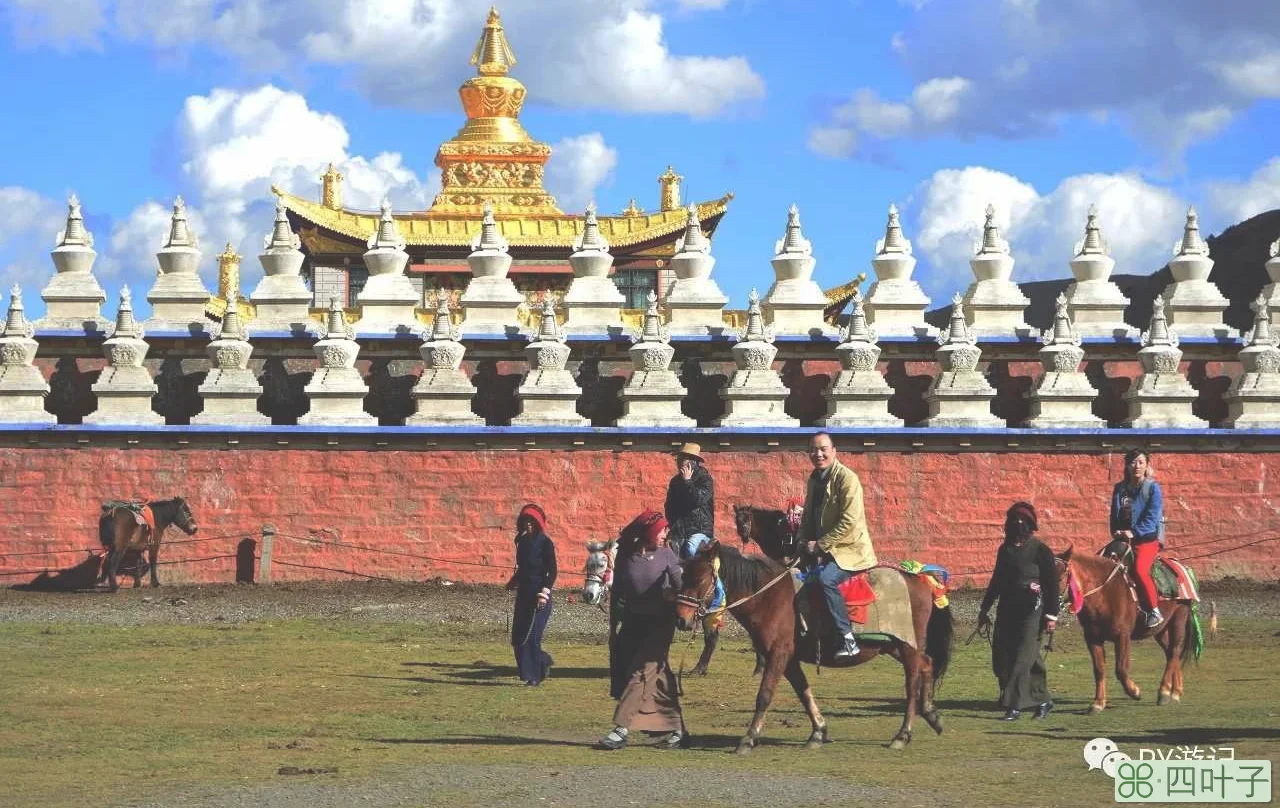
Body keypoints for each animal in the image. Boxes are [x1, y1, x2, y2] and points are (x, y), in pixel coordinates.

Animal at [675, 540, 957, 758]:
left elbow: (764, 695)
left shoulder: (778, 654)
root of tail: (920, 579)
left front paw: (748, 738)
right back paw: (931, 714)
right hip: (893, 646)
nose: (681, 619)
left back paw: (902, 734)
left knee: (912, 682)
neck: (769, 599)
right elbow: (803, 692)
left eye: (699, 578)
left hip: (906, 645)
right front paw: (818, 732)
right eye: (682, 576)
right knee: (927, 663)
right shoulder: (788, 659)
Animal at [1054, 542, 1203, 711]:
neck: (1104, 592)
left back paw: (1164, 692)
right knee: (1171, 652)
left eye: (1060, 578)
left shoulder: (1122, 636)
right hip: (1161, 630)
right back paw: (1176, 691)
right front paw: (1098, 703)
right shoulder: (1092, 638)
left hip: (1179, 618)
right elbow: (1099, 669)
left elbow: (1121, 669)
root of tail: (1183, 568)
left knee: (1174, 651)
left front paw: (1135, 691)